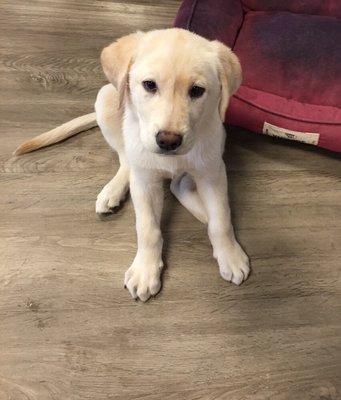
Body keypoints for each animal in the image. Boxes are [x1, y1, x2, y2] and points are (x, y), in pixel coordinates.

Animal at [15, 28, 250, 302]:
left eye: (197, 91)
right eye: (149, 85)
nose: (168, 141)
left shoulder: (212, 173)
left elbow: (221, 219)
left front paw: (230, 255)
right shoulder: (145, 182)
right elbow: (147, 228)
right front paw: (145, 271)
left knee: (178, 186)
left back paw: (202, 211)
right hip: (107, 100)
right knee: (127, 160)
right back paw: (113, 191)